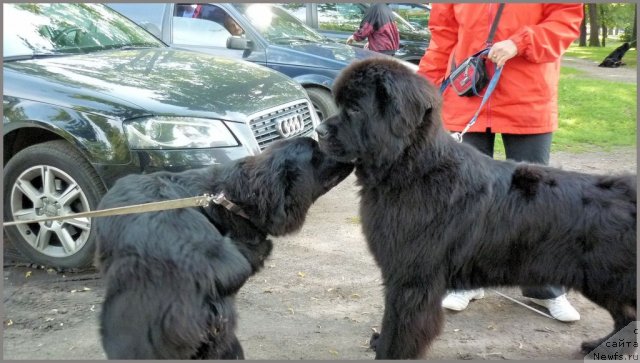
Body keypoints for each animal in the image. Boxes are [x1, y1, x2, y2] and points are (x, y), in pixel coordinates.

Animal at [316, 58, 636, 360]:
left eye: (355, 109)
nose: (319, 130)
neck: (411, 169)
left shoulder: (411, 281)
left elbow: (399, 330)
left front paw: (387, 351)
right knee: (627, 318)